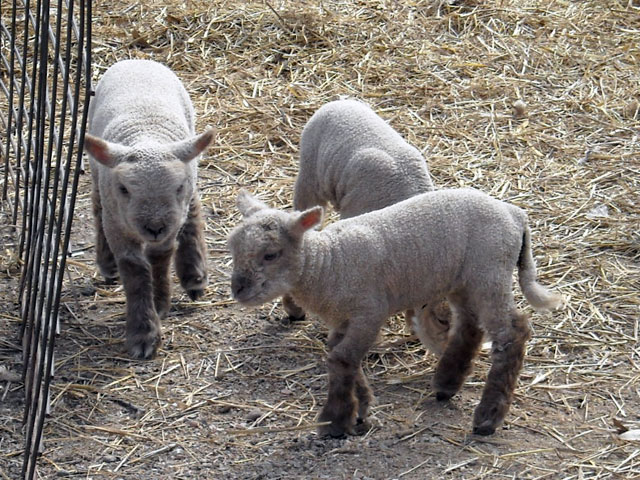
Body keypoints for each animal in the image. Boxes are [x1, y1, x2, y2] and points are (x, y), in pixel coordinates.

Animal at [81, 60, 212, 358]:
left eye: (178, 186)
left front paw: (160, 300)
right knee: (97, 205)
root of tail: (136, 60)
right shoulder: (118, 224)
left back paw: (194, 274)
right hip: (98, 175)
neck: (146, 137)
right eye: (124, 189)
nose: (154, 227)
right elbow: (135, 271)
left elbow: (160, 258)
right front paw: (143, 332)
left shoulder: (173, 217)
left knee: (194, 210)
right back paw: (107, 263)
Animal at [228, 188, 564, 438]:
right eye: (233, 248)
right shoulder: (343, 319)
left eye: (271, 255)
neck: (327, 264)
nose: (238, 289)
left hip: (489, 271)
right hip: (463, 279)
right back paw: (447, 383)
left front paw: (334, 421)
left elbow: (341, 359)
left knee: (512, 333)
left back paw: (488, 417)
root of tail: (515, 214)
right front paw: (360, 410)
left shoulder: (369, 312)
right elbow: (343, 358)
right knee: (470, 326)